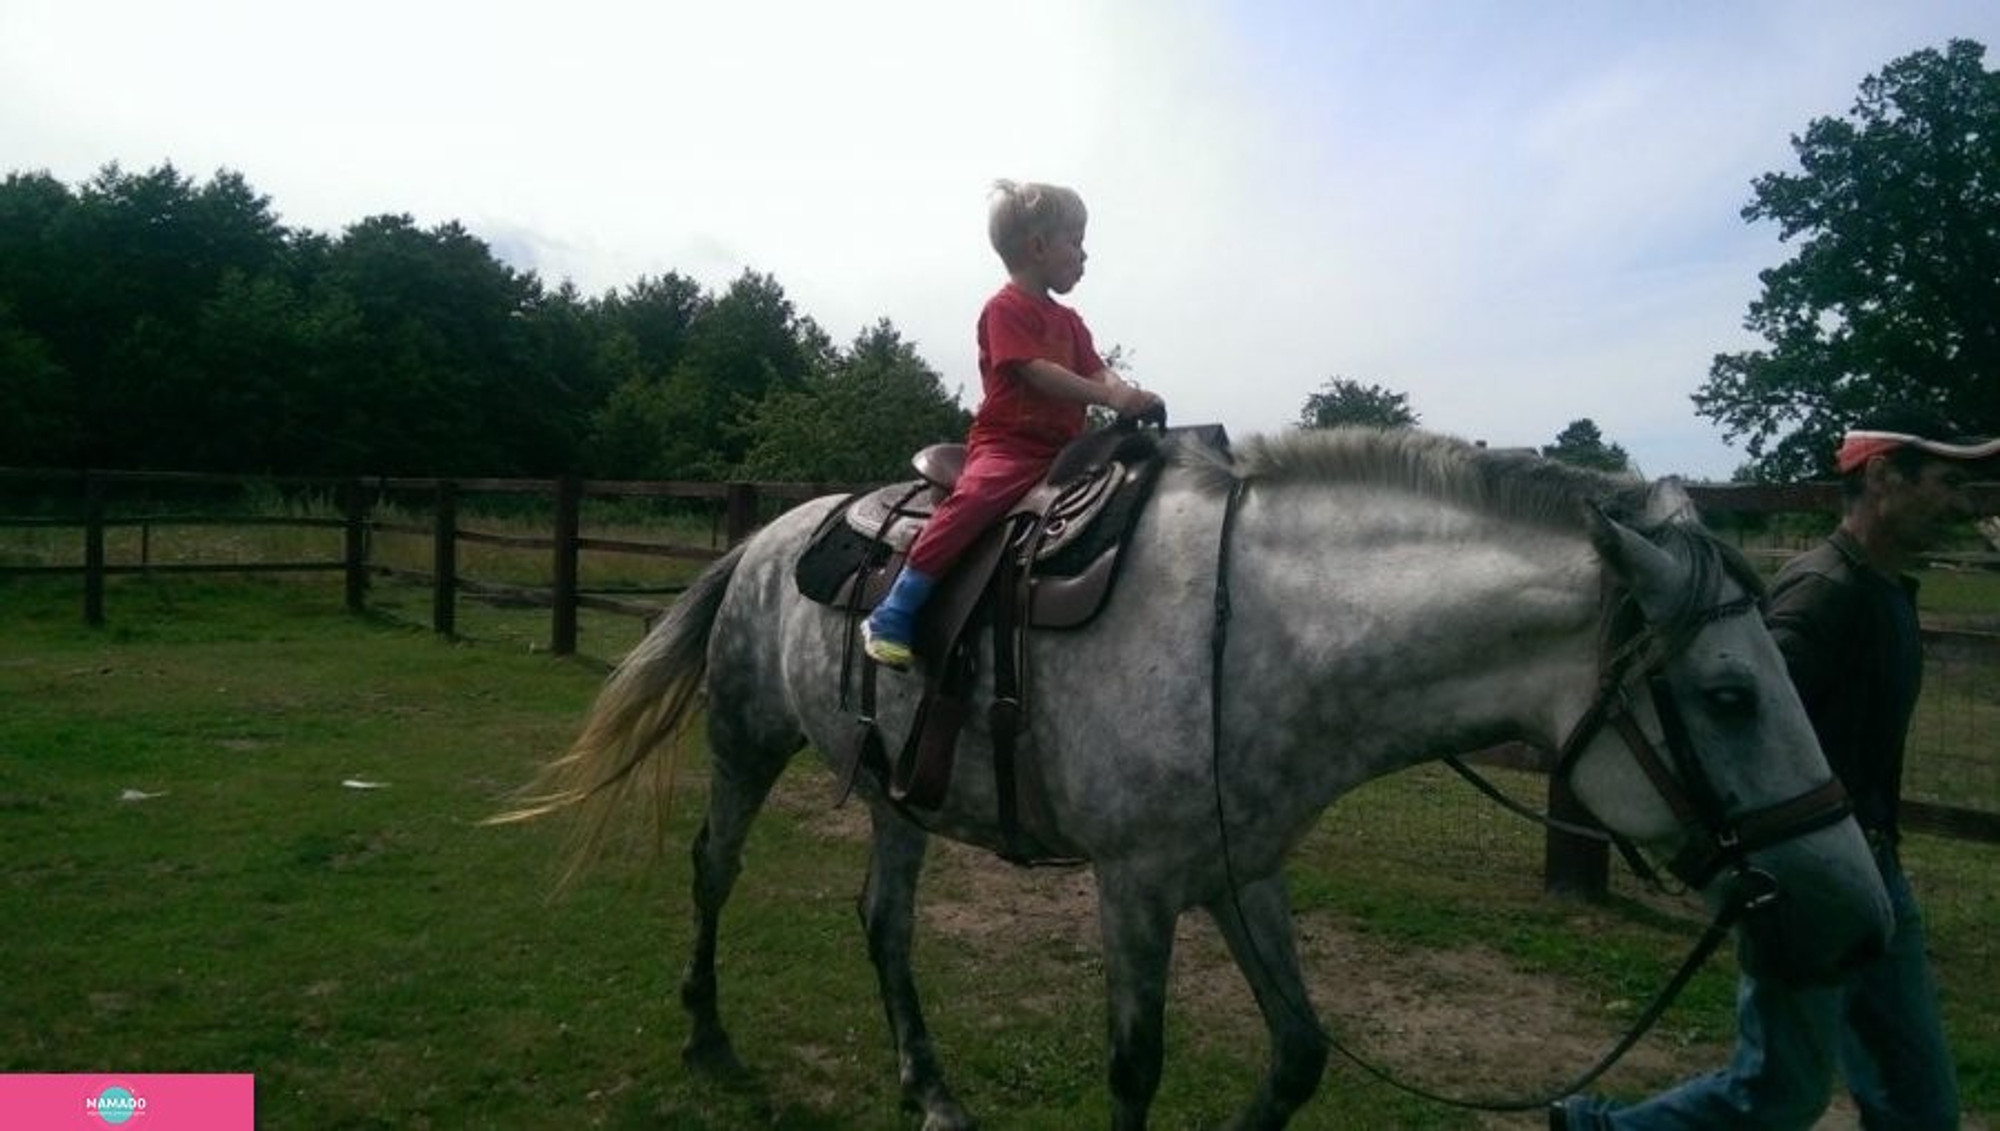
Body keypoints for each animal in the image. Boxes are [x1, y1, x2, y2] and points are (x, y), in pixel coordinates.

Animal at [516, 427, 1888, 1131]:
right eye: (1730, 696)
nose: (1860, 923)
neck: (1261, 632)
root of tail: (765, 534)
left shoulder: (1244, 871)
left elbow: (1298, 1054)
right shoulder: (1134, 887)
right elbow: (1136, 1068)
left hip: (901, 791)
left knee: (883, 923)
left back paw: (930, 1089)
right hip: (745, 743)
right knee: (713, 869)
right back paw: (704, 1030)